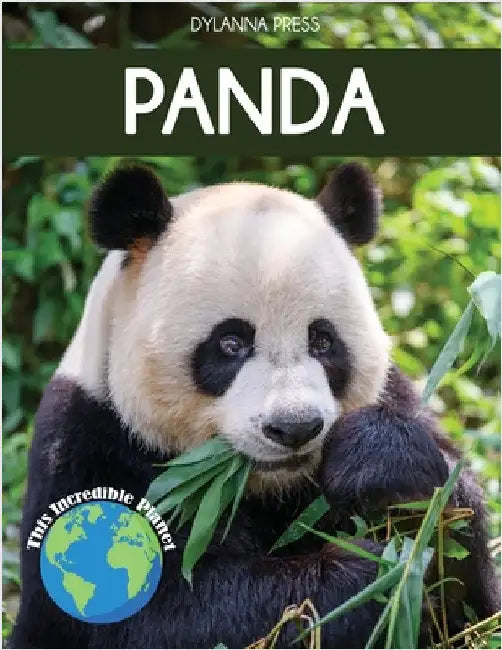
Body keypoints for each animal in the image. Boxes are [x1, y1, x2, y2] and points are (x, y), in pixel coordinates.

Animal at [11, 163, 498, 649]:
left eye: (322, 340)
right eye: (231, 343)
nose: (295, 427)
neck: (271, 488)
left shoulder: (395, 395)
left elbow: (469, 604)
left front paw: (388, 477)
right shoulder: (91, 445)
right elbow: (165, 616)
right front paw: (363, 580)